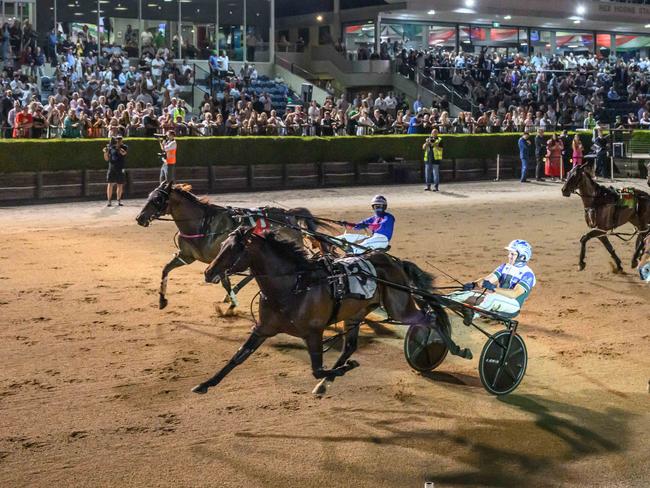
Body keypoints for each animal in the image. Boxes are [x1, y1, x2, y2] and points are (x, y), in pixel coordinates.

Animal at [135, 181, 330, 310]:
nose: (139, 218)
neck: (202, 224)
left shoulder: (223, 258)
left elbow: (224, 281)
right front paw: (162, 300)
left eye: (157, 199)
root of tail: (289, 215)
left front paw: (232, 303)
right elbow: (166, 269)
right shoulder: (187, 256)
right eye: (149, 196)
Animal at [190, 229, 464, 396]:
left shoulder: (313, 332)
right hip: (354, 314)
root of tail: (394, 262)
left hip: (399, 307)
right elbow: (238, 357)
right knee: (350, 346)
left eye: (233, 250)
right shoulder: (263, 328)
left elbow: (317, 369)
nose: (208, 272)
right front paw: (205, 384)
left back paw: (453, 347)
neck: (295, 285)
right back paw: (326, 384)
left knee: (429, 317)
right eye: (222, 245)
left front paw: (342, 370)